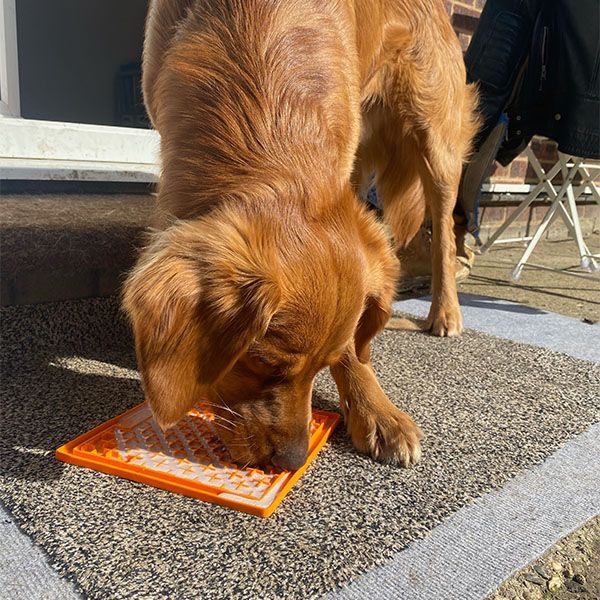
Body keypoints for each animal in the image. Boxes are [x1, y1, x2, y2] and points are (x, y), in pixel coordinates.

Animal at [123, 0, 478, 468]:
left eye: (322, 363)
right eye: (259, 361)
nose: (292, 460)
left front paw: (375, 410)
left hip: (436, 139)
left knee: (445, 230)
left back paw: (446, 312)